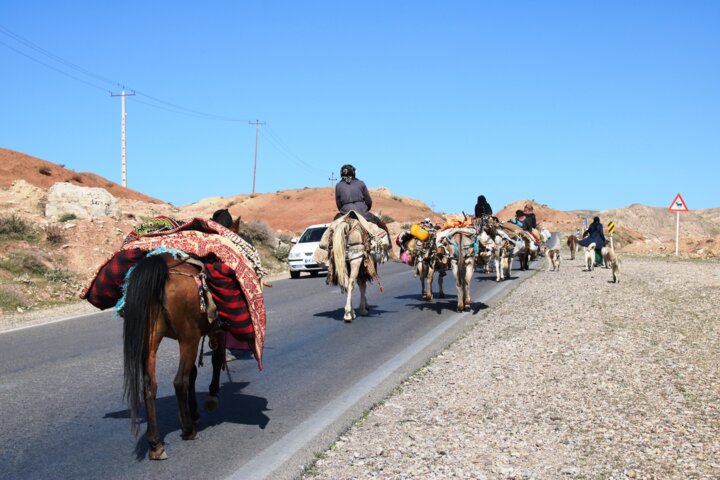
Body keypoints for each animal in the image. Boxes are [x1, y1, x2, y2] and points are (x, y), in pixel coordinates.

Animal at [122, 253, 226, 460]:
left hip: (151, 341)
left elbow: (194, 372)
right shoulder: (217, 331)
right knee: (179, 381)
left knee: (149, 387)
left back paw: (155, 444)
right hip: (188, 338)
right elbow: (216, 360)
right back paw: (188, 430)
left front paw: (194, 411)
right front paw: (211, 397)